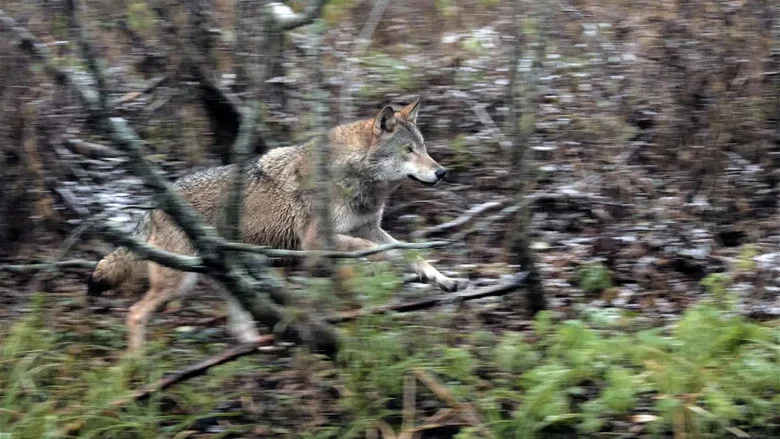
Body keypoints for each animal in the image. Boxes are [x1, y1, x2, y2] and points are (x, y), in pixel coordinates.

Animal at [88, 98, 467, 352]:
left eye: (424, 148)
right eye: (408, 151)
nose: (442, 172)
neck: (352, 178)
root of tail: (154, 205)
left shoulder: (367, 227)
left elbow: (409, 253)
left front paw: (442, 279)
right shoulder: (318, 243)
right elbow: (377, 252)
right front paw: (381, 271)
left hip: (226, 278)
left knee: (240, 327)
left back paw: (261, 349)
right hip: (179, 283)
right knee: (135, 314)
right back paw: (137, 366)